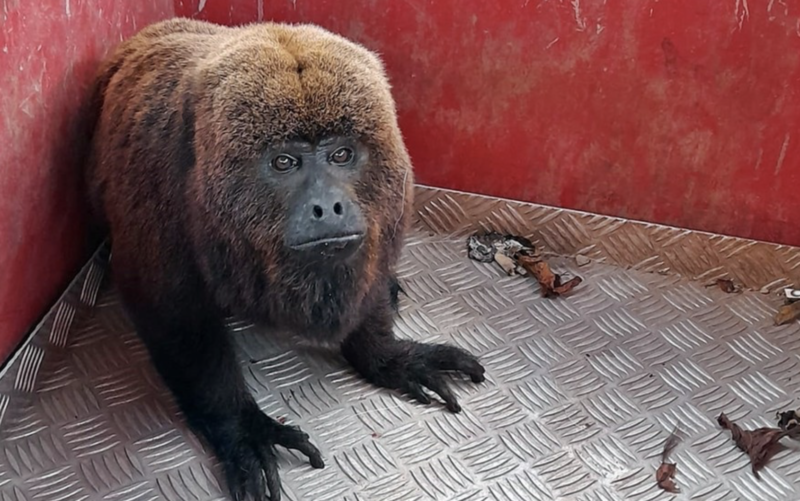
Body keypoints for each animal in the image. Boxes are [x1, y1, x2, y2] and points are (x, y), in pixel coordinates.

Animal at [83, 18, 486, 501]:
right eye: (285, 162)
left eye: (341, 154)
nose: (328, 206)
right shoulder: (155, 188)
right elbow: (174, 314)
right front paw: (242, 427)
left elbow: (369, 282)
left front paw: (386, 356)